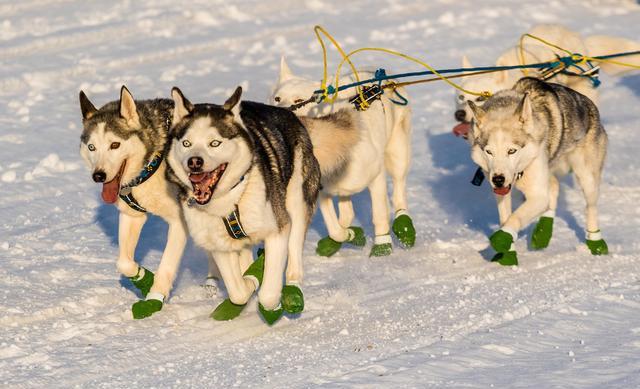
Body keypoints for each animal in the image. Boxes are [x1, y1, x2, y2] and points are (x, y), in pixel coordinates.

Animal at [79, 87, 191, 318]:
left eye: (114, 145)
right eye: (92, 147)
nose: (98, 176)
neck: (151, 165)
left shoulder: (179, 222)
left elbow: (166, 265)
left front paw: (155, 297)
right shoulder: (132, 216)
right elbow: (123, 263)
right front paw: (144, 278)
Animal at [165, 85, 320, 324]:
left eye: (215, 143)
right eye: (186, 143)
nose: (194, 162)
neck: (230, 200)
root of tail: (287, 112)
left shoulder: (278, 230)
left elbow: (268, 294)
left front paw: (268, 297)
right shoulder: (218, 244)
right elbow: (238, 291)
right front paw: (249, 282)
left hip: (297, 202)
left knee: (294, 253)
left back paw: (293, 287)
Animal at [268, 57, 416, 256]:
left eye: (299, 100)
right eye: (277, 98)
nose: (276, 112)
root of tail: (379, 73)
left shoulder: (376, 176)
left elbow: (379, 213)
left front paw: (382, 246)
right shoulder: (322, 189)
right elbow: (334, 226)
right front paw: (349, 235)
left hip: (397, 153)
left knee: (399, 192)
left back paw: (403, 223)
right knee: (347, 211)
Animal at [470, 76, 608, 264]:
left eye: (511, 151)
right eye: (489, 152)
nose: (498, 179)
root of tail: (587, 102)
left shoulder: (537, 194)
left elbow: (515, 217)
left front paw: (501, 239)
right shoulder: (502, 193)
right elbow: (505, 219)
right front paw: (507, 255)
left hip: (587, 178)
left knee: (590, 207)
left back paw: (595, 242)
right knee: (554, 189)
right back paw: (542, 233)